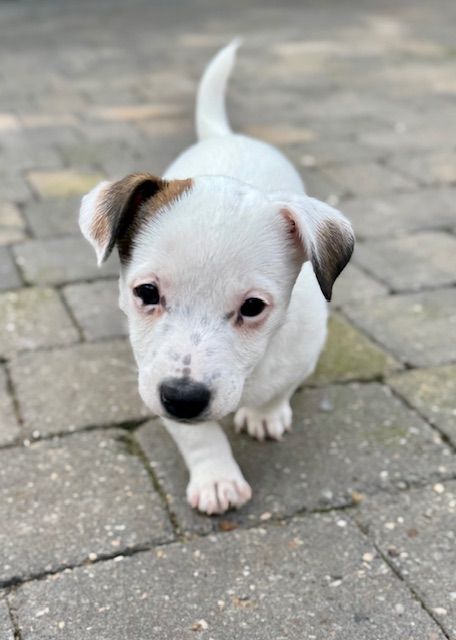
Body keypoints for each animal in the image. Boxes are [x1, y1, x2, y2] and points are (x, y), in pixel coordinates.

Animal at [80, 41, 354, 516]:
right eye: (146, 292)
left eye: (253, 307)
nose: (184, 399)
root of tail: (225, 135)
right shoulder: (153, 373)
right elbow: (197, 435)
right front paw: (217, 479)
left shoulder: (304, 348)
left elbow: (281, 387)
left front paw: (265, 414)